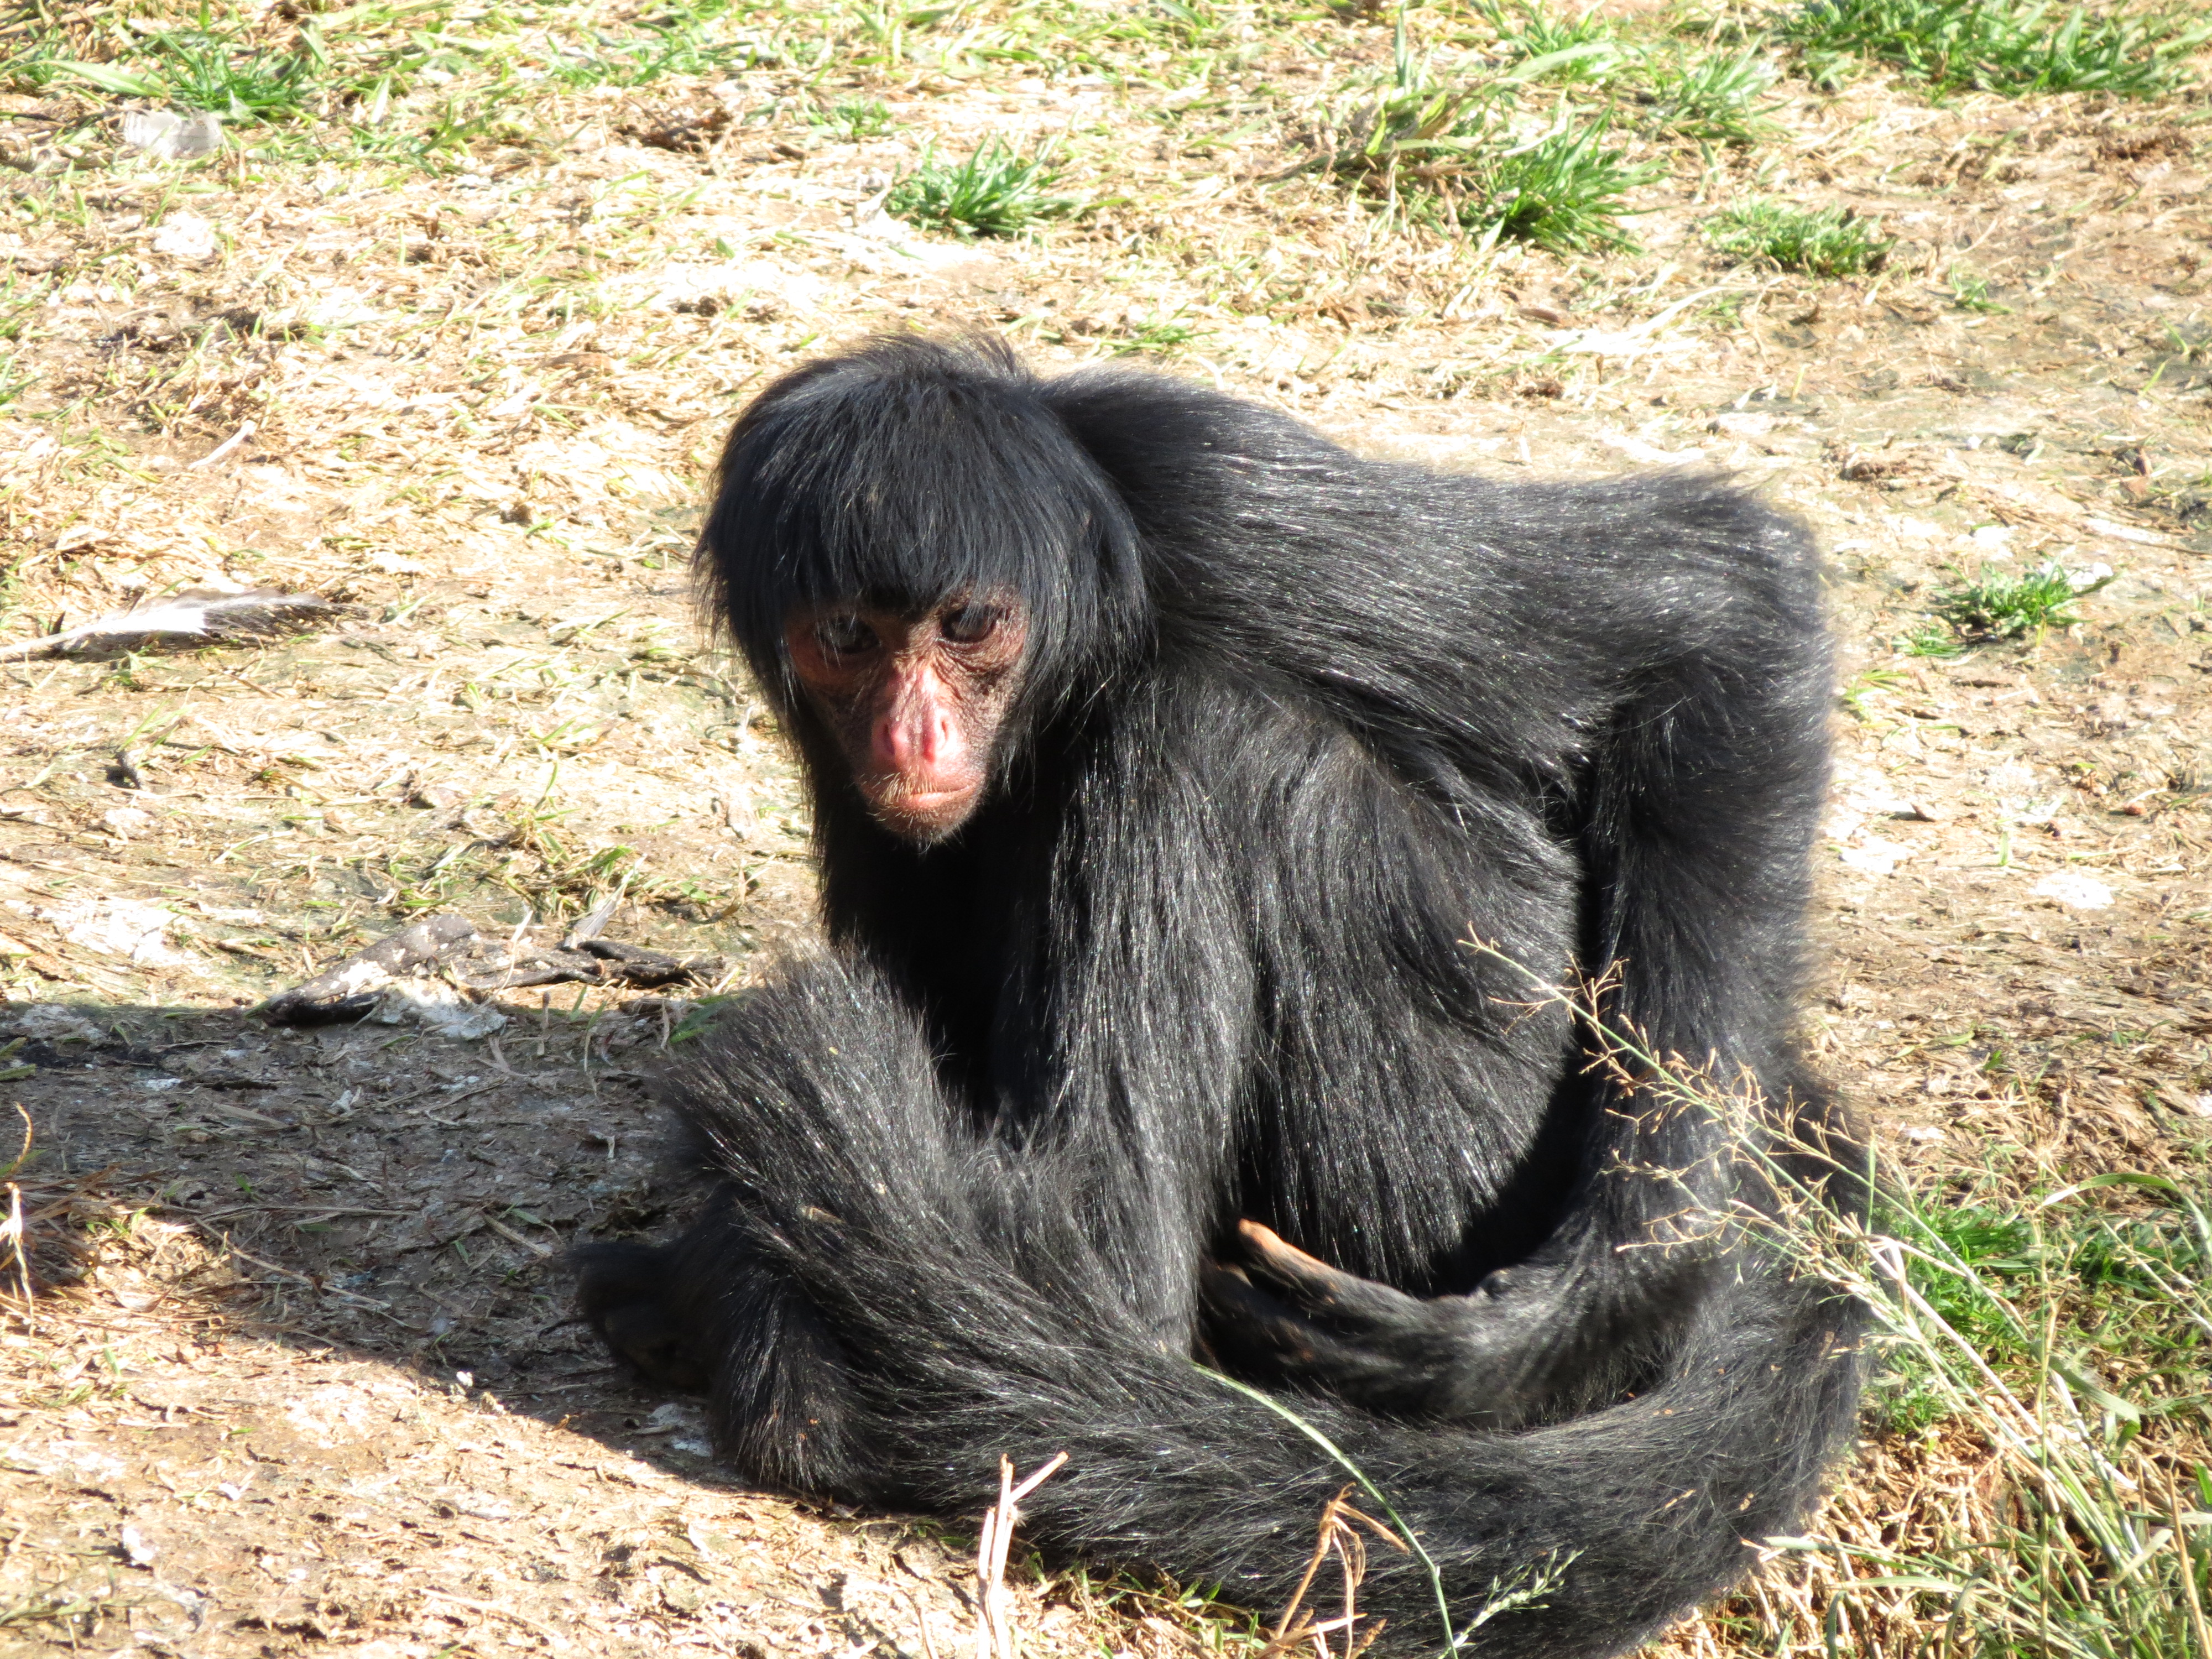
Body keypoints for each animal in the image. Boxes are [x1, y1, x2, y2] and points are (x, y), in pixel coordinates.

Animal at [575, 338, 1867, 1659]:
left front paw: (1586, 1307)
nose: (913, 733)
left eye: (969, 625)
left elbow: (1725, 598)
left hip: (1493, 1037)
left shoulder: (1218, 492)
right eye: (846, 636)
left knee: (1198, 727)